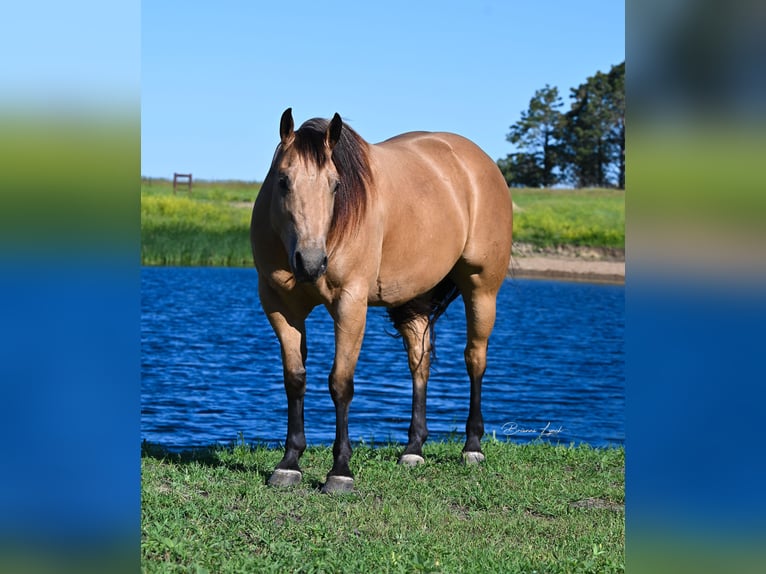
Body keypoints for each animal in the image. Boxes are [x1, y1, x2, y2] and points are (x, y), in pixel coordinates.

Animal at [254, 109, 516, 496]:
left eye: (335, 184)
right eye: (283, 180)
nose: (311, 263)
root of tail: (480, 162)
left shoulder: (350, 304)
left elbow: (340, 383)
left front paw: (340, 471)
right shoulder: (280, 306)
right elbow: (294, 379)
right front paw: (289, 463)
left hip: (482, 289)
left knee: (475, 360)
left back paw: (472, 446)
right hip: (416, 299)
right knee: (419, 364)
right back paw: (413, 448)